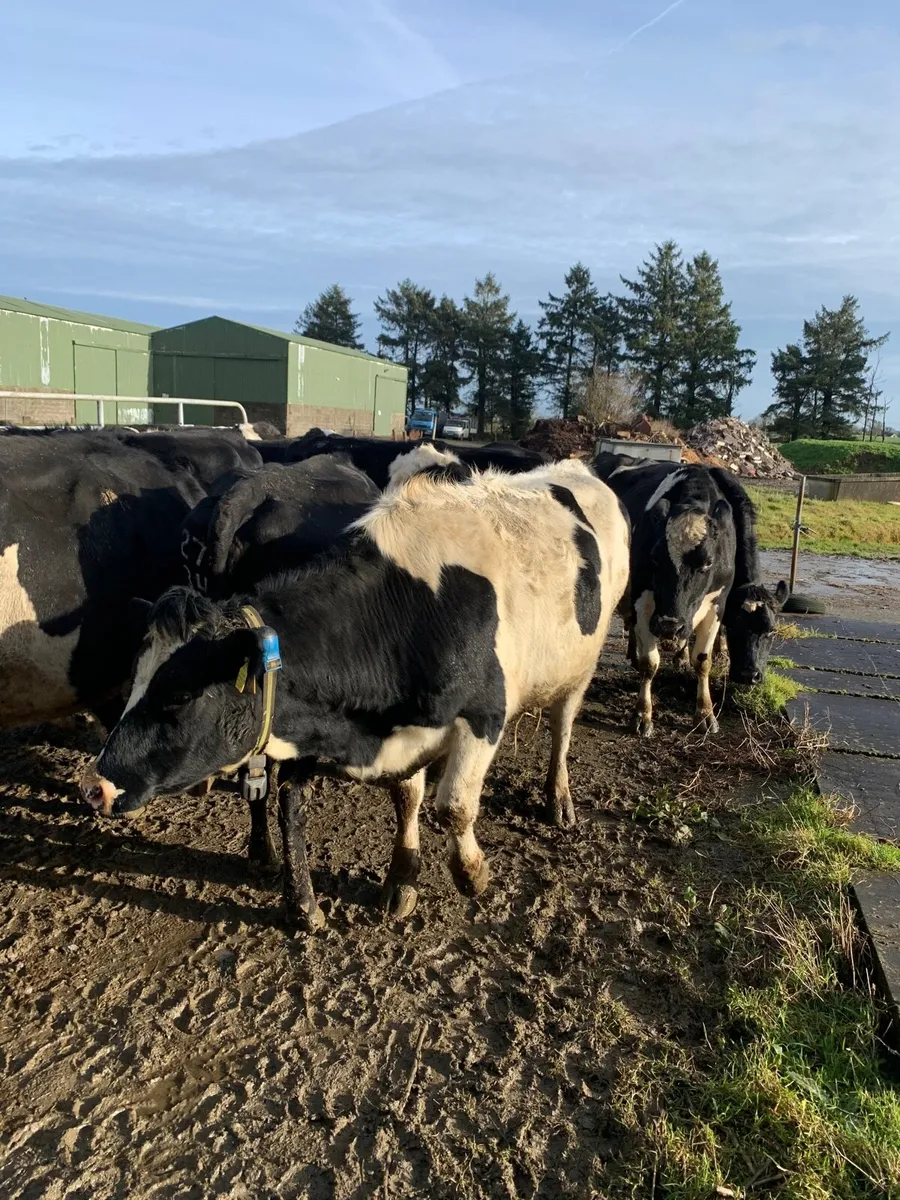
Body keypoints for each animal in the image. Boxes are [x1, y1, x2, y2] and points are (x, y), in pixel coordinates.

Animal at [594, 453, 737, 738]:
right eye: (655, 558)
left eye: (708, 563)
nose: (669, 625)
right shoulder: (643, 601)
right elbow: (650, 663)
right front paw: (642, 715)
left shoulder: (717, 604)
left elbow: (703, 661)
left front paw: (705, 713)